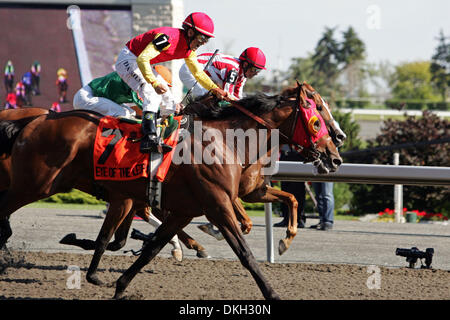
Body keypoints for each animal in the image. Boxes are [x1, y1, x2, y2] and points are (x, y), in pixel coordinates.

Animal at [0, 83, 342, 300]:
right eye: (316, 119)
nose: (335, 153)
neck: (226, 142)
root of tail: (34, 120)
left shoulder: (185, 209)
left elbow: (151, 248)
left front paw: (120, 285)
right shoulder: (218, 204)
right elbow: (244, 252)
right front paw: (272, 292)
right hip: (36, 183)